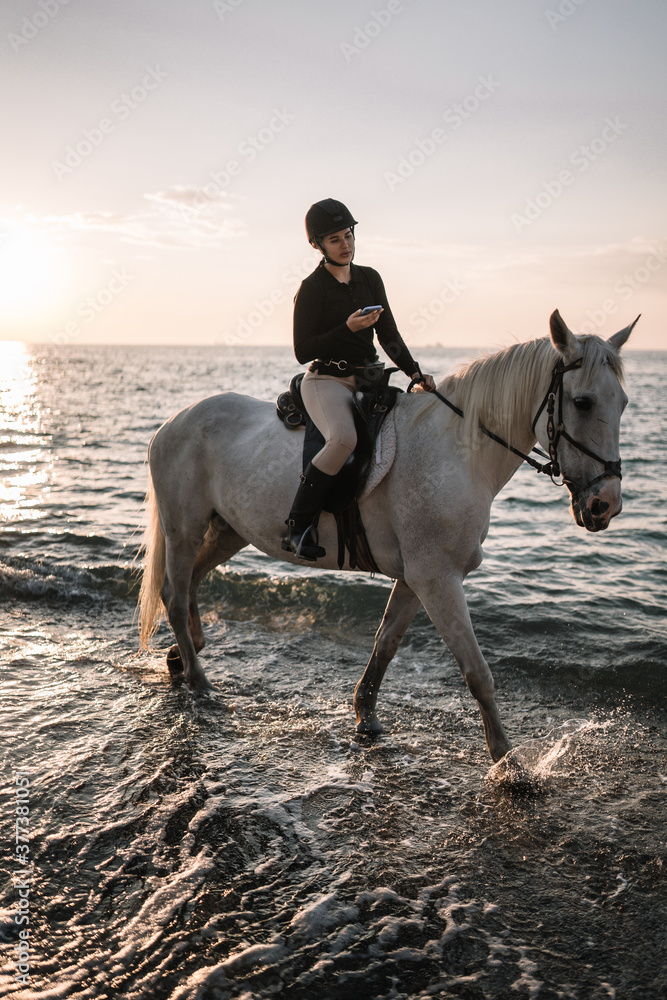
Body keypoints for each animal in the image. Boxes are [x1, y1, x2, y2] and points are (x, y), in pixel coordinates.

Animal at [138, 310, 637, 764]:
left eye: (623, 403)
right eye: (584, 402)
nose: (605, 504)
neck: (458, 450)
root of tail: (173, 422)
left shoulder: (418, 579)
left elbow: (386, 642)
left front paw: (366, 716)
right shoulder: (437, 578)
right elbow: (477, 672)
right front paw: (508, 763)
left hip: (228, 532)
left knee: (190, 583)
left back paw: (183, 657)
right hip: (183, 530)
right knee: (175, 595)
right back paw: (198, 679)